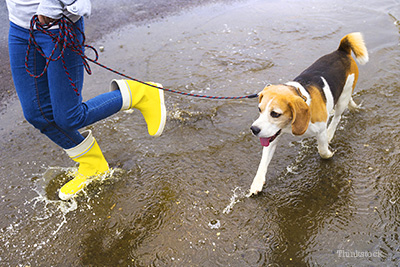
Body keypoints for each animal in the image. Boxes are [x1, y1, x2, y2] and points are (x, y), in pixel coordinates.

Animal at [250, 32, 368, 196]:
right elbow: (263, 162)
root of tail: (341, 50)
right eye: (259, 110)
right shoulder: (272, 136)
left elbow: (322, 150)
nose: (254, 129)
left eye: (275, 114)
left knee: (337, 117)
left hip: (343, 97)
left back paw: (331, 131)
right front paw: (257, 182)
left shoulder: (320, 130)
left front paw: (329, 154)